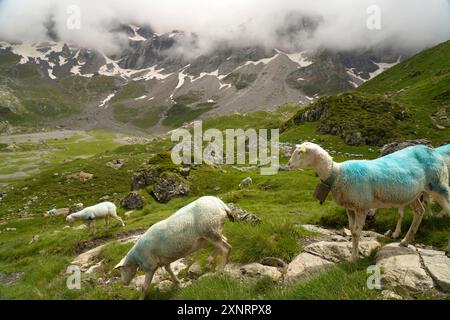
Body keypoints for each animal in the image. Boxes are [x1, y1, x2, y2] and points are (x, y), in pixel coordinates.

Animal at [288, 141, 450, 262]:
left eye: (300, 153)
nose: (289, 165)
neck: (338, 174)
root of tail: (433, 151)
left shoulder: (362, 206)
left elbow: (356, 232)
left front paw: (353, 258)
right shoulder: (350, 208)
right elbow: (352, 230)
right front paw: (353, 255)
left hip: (438, 184)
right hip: (414, 194)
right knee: (419, 211)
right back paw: (405, 241)